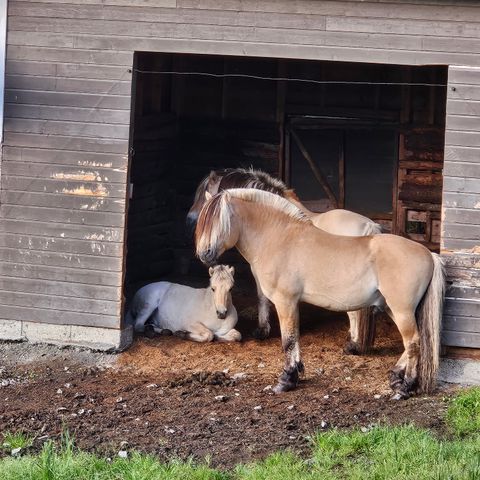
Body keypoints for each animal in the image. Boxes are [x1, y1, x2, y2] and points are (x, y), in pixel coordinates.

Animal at [187, 168, 378, 352]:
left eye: (202, 194)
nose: (204, 254)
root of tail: (369, 226)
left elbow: (262, 298)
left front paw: (262, 330)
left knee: (355, 312)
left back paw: (353, 344)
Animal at [195, 189, 446, 400]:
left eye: (221, 221)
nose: (204, 254)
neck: (280, 239)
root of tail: (428, 254)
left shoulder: (285, 301)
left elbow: (288, 341)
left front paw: (286, 380)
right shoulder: (292, 303)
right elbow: (295, 338)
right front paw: (296, 373)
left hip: (402, 310)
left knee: (413, 343)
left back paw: (404, 389)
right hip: (392, 308)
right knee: (410, 344)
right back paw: (395, 377)